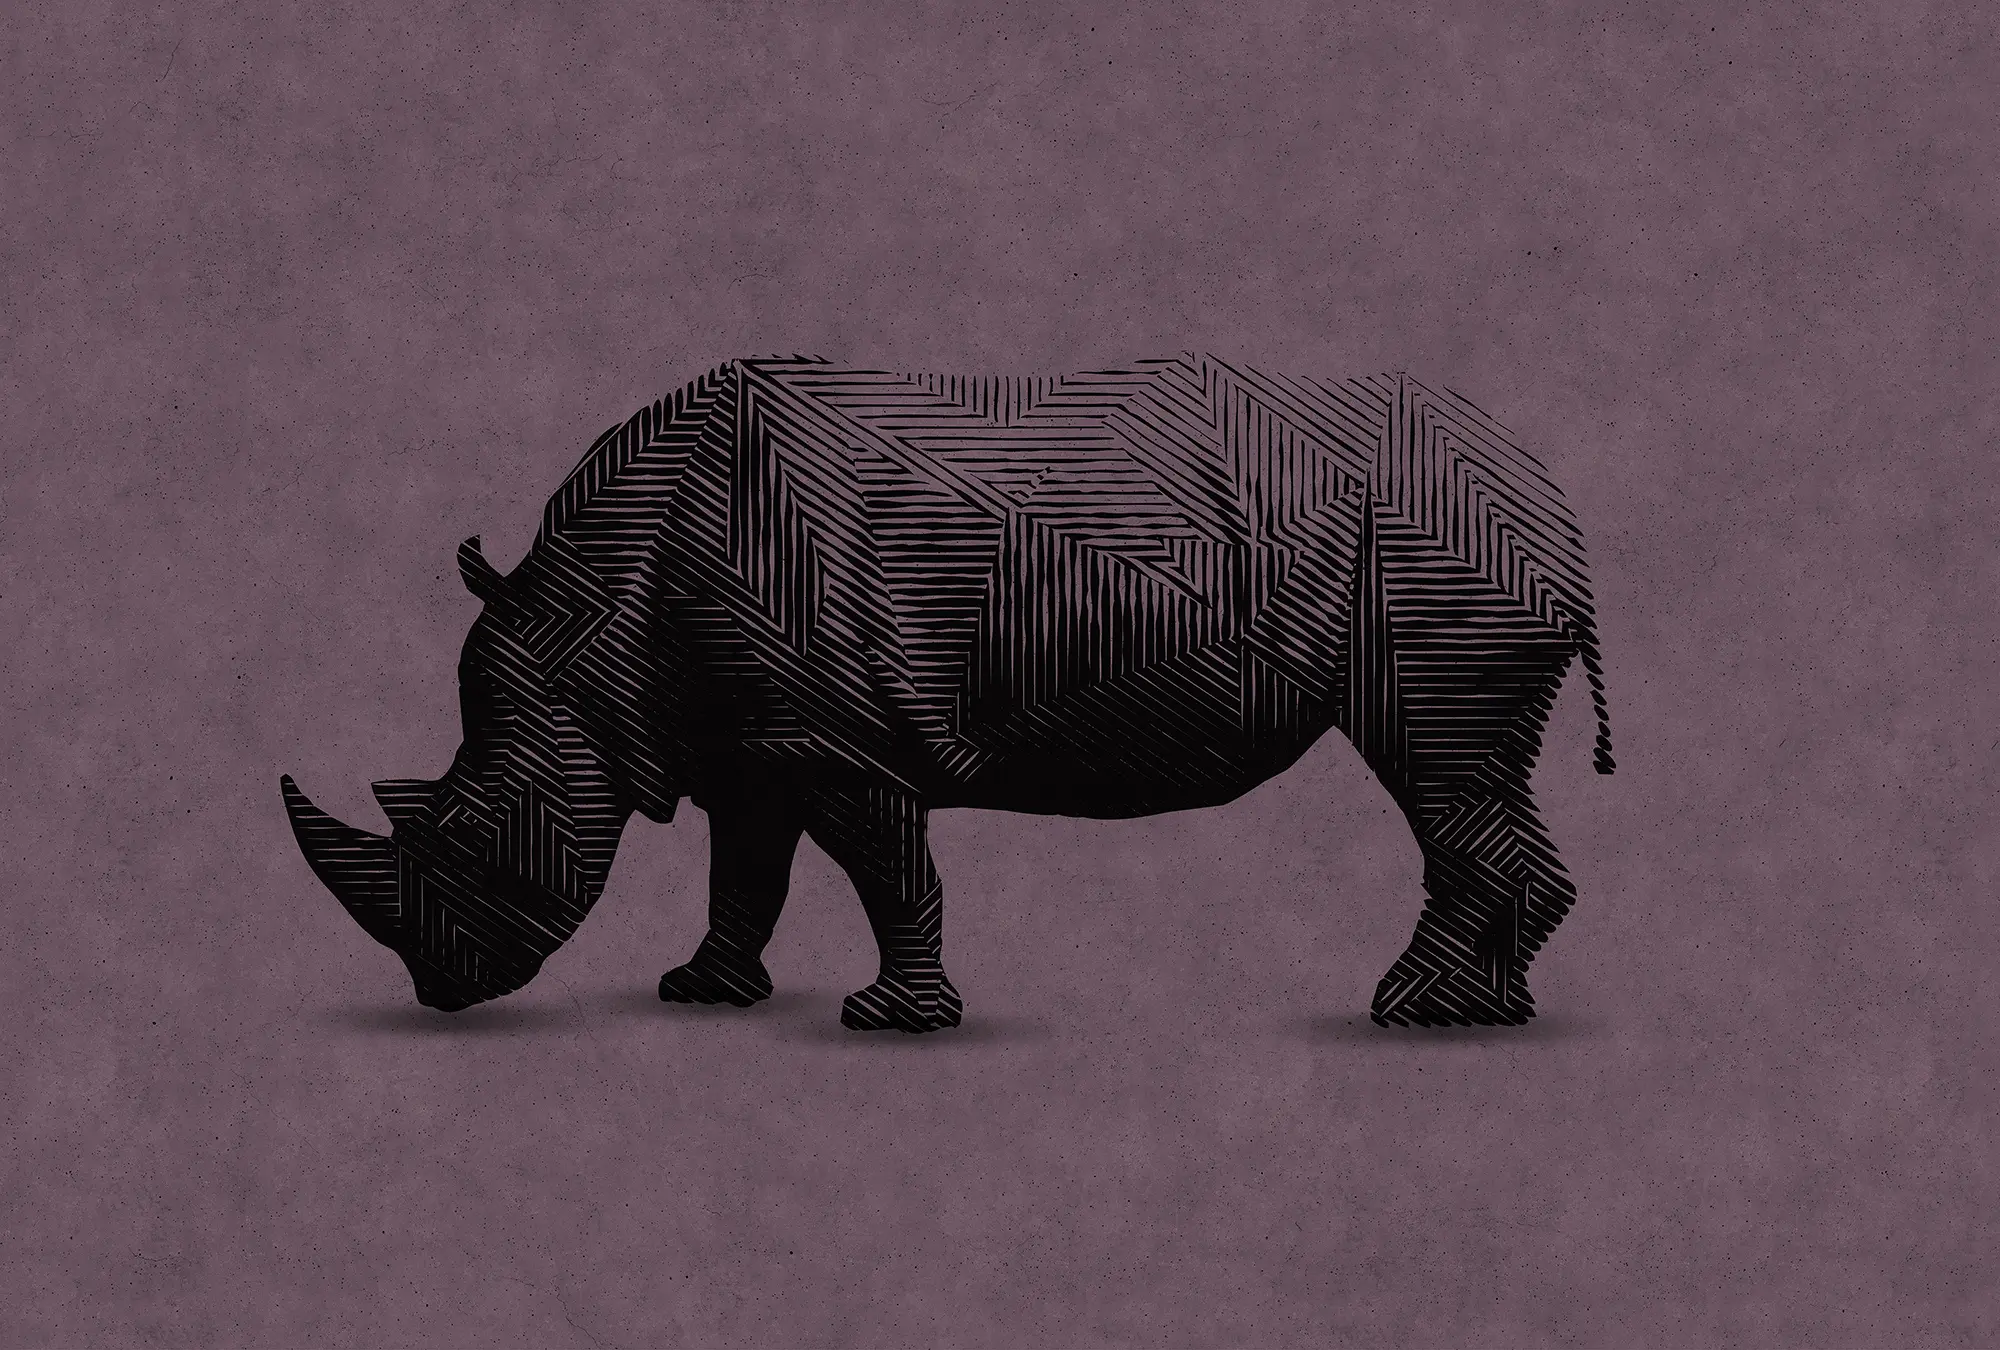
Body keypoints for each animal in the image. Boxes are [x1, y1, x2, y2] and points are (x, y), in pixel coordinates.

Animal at [282, 355, 1615, 1032]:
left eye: (468, 836)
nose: (439, 993)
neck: (586, 626)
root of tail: (1545, 482)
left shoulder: (833, 738)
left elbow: (888, 868)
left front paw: (890, 1018)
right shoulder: (747, 739)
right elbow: (744, 870)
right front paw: (700, 993)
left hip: (1431, 552)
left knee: (1435, 763)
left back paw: (1409, 1009)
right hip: (1442, 542)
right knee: (1473, 775)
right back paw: (1493, 1010)